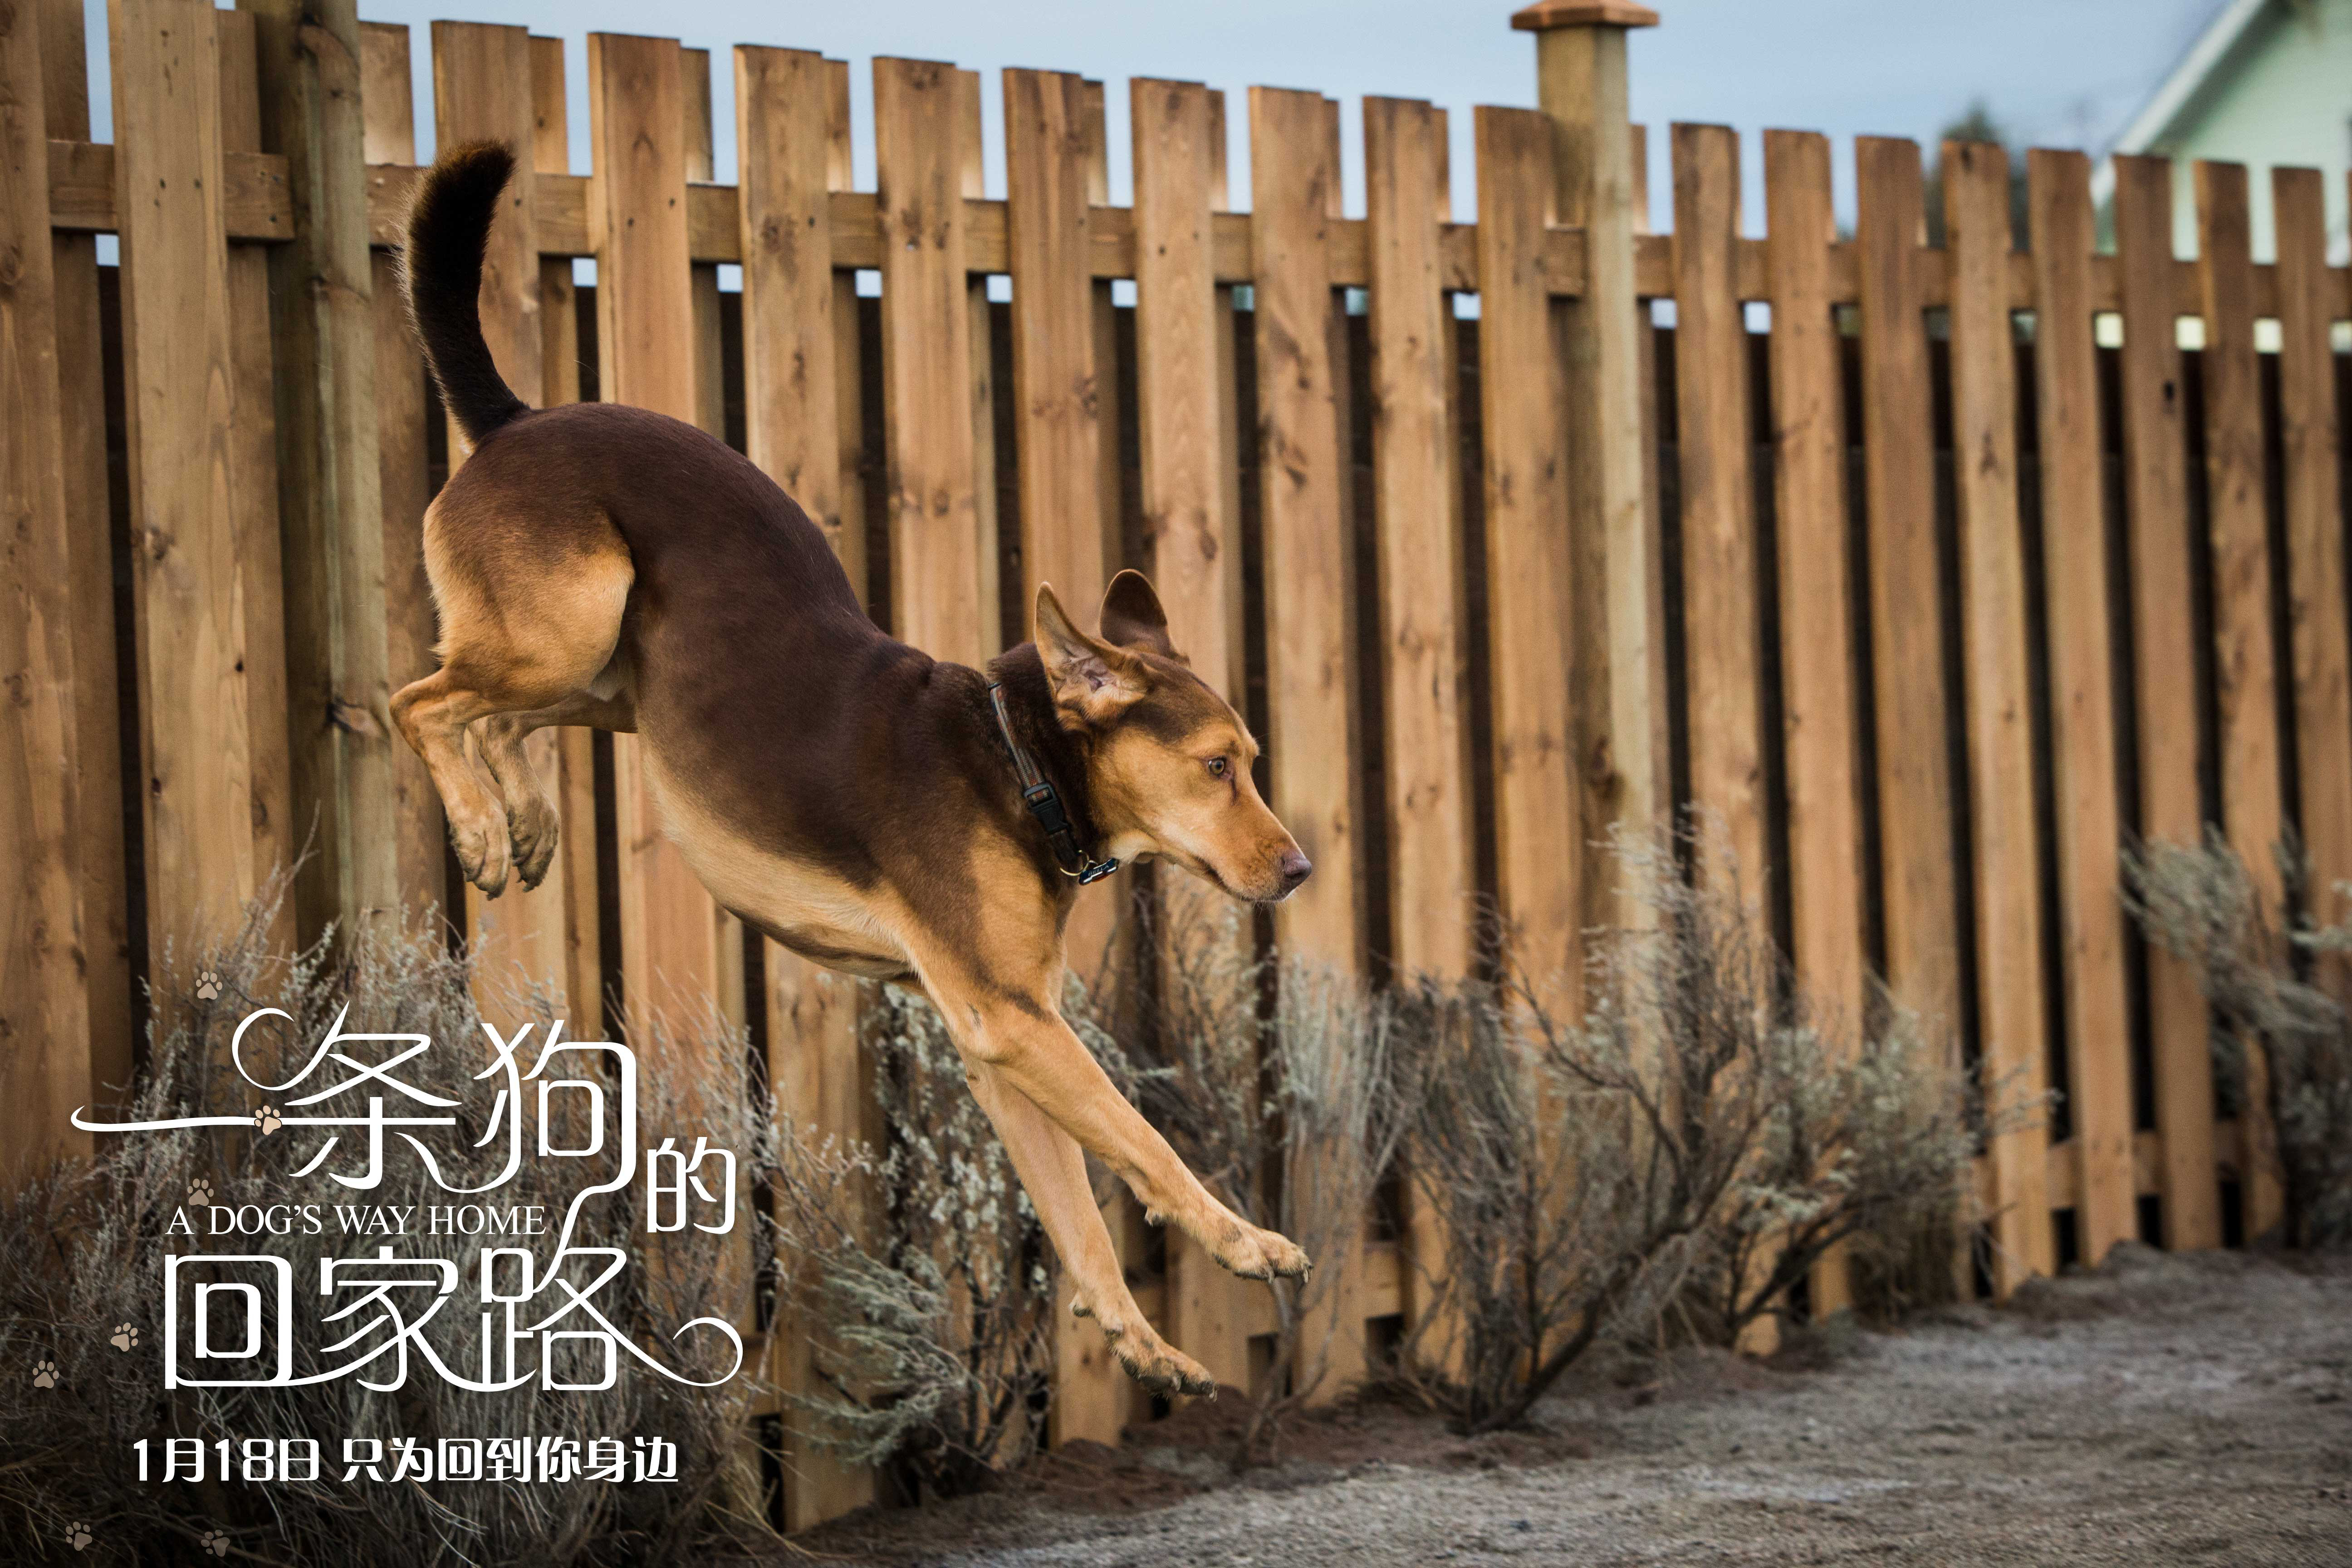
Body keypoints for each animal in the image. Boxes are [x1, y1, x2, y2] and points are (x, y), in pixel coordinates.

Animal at [392, 150, 1317, 1401]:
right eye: (1218, 768)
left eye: (1251, 764)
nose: (1300, 869)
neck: (1015, 762)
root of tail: (515, 419)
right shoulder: (1013, 1023)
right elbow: (1145, 1142)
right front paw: (1245, 1242)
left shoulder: (999, 1040)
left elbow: (1077, 1209)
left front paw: (1139, 1339)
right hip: (569, 624)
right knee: (421, 699)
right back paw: (485, 830)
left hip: (609, 677)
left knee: (492, 714)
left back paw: (522, 817)